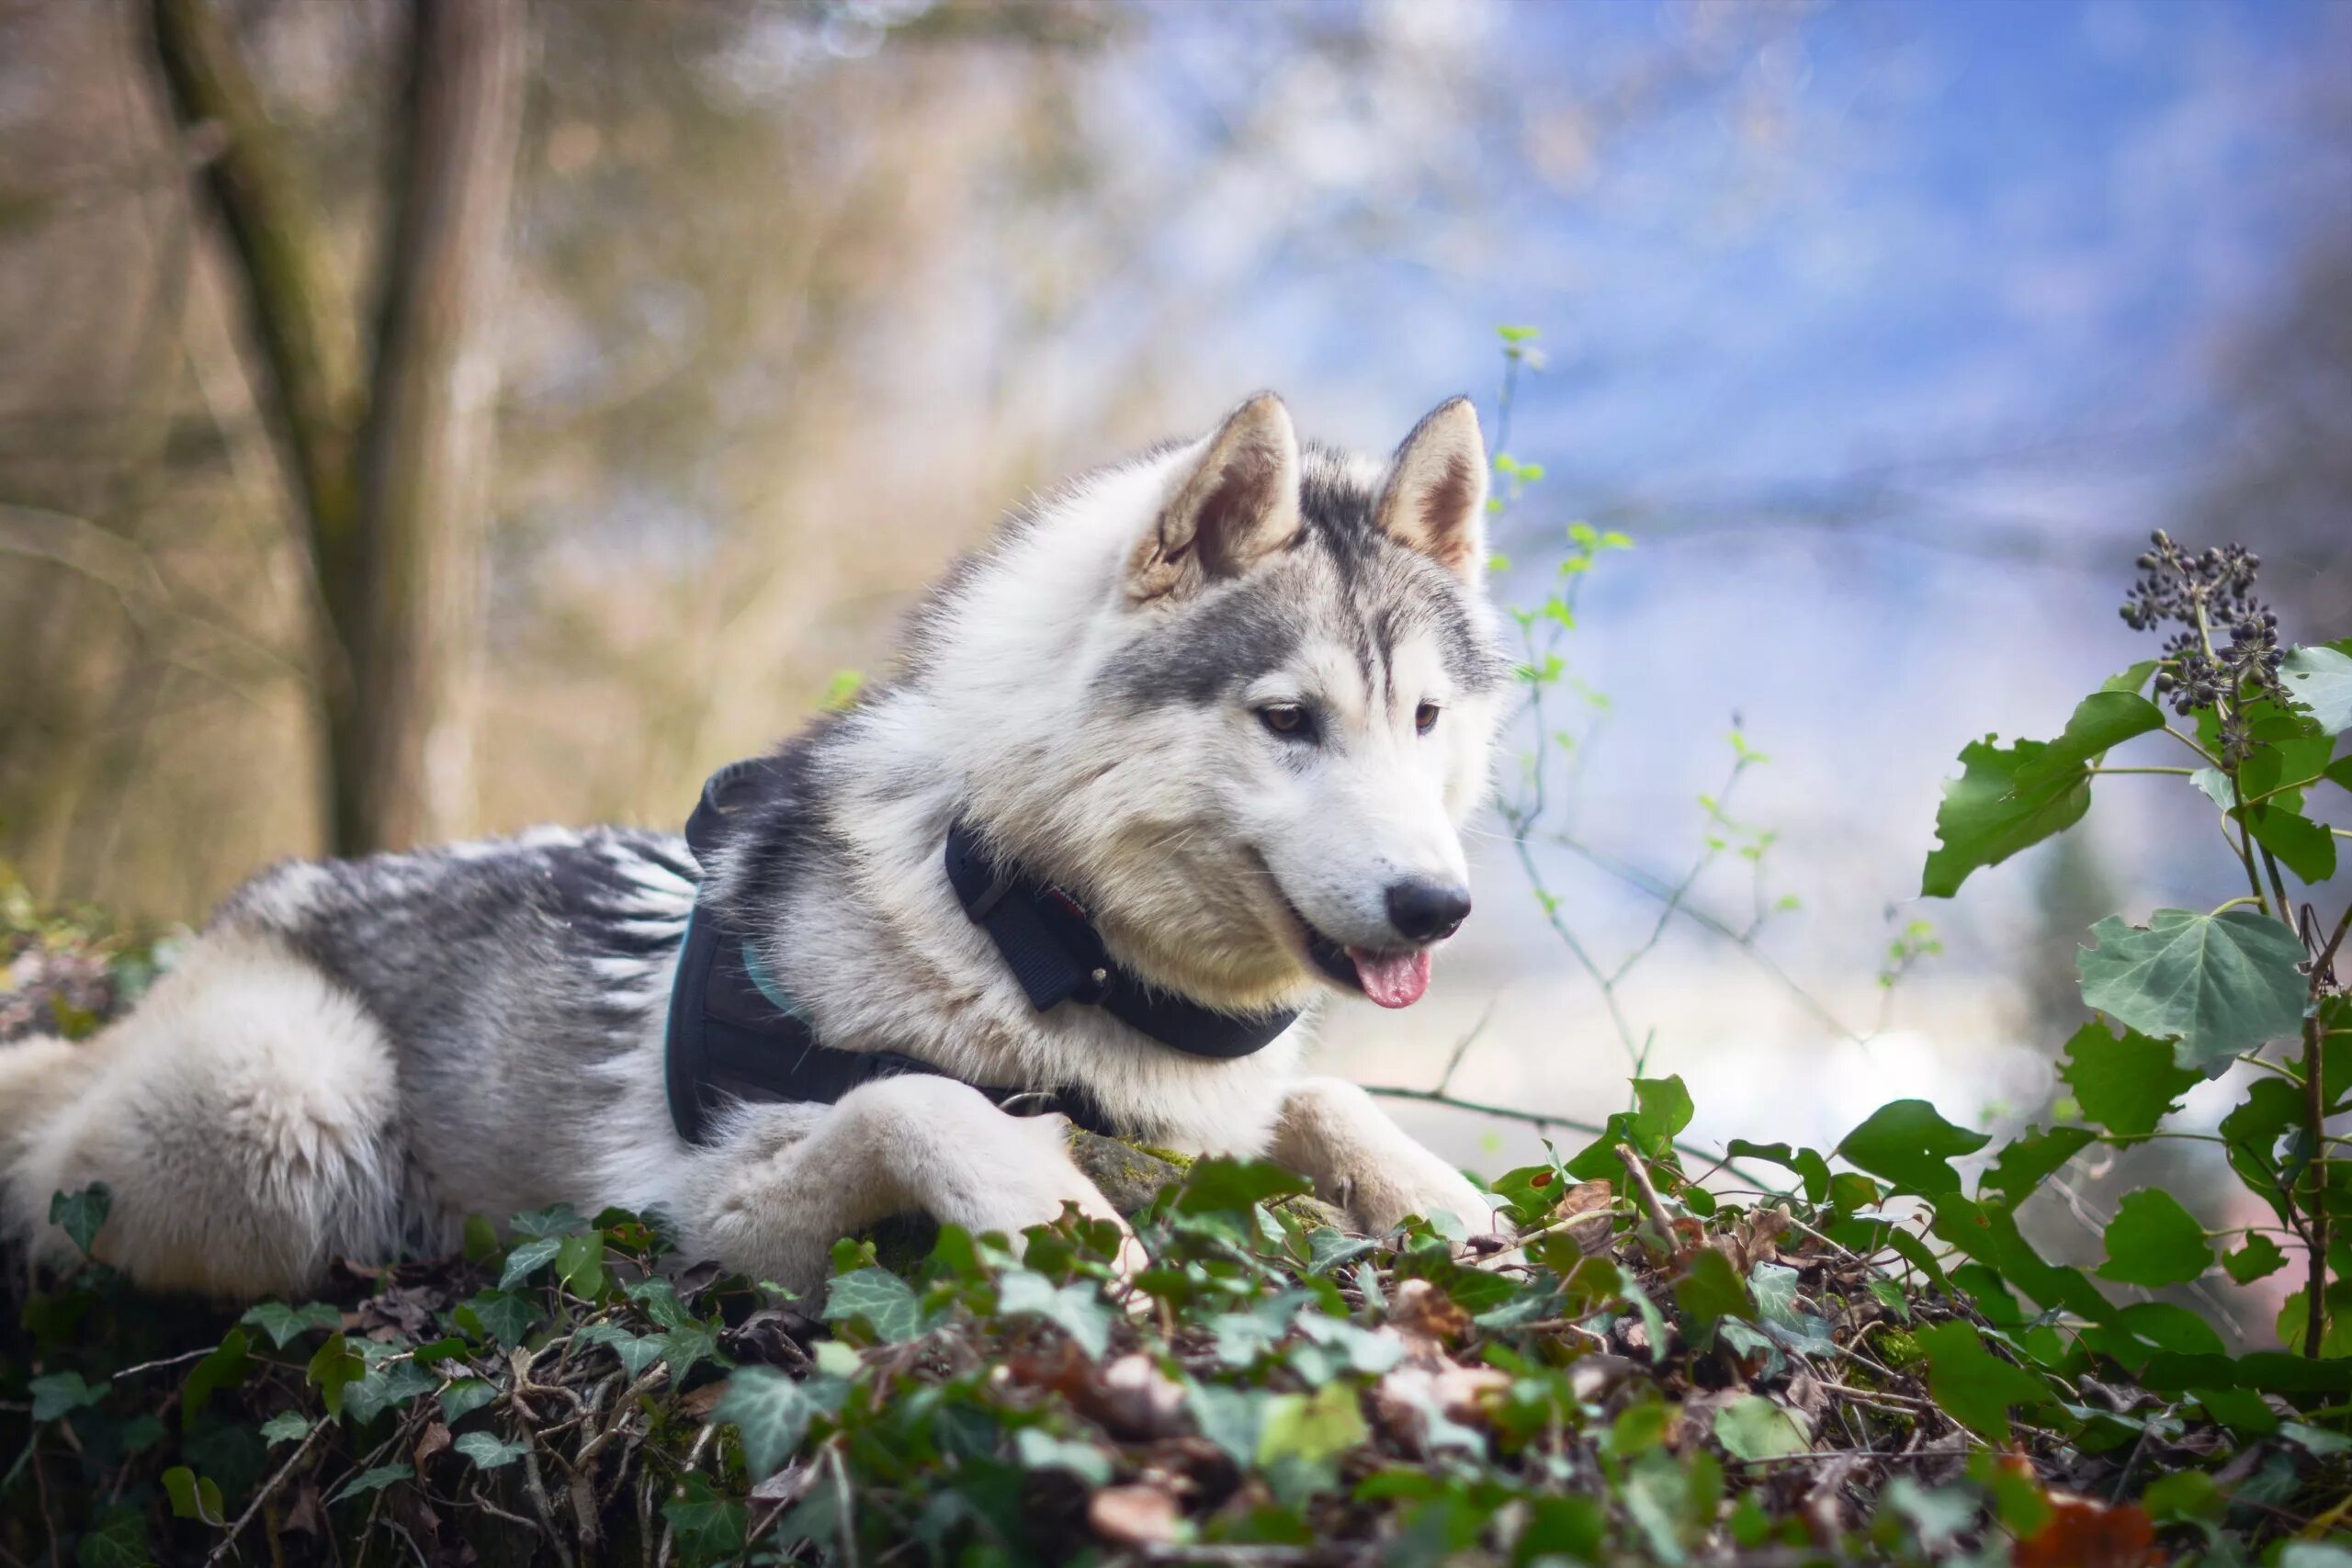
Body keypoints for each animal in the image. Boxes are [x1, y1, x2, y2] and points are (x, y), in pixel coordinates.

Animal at [0, 392, 1505, 1297]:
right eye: (1289, 718)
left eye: (1424, 716)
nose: (1437, 907)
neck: (1030, 926)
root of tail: (230, 925)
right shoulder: (695, 1210)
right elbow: (923, 1101)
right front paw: (1066, 1223)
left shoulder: (1229, 1114)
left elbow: (1330, 1100)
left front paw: (1466, 1215)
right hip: (291, 1128)